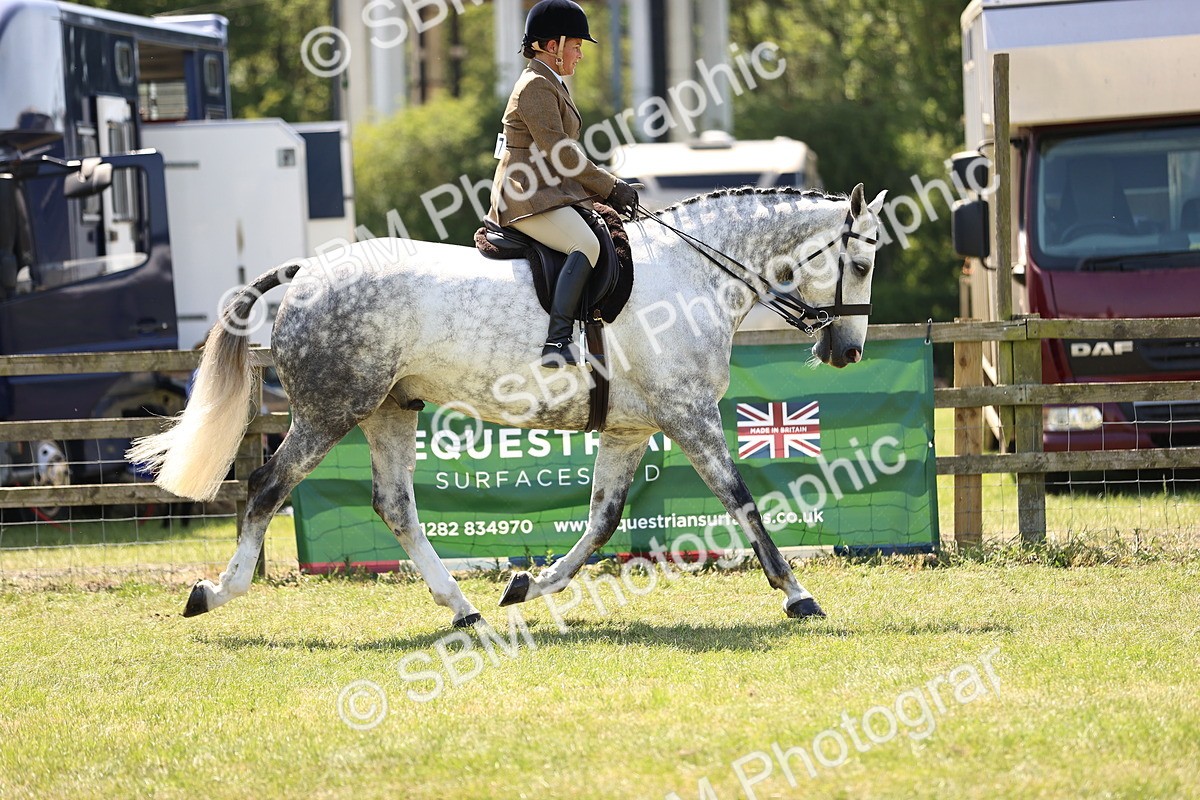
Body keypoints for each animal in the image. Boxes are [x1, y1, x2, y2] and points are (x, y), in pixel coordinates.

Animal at [129, 183, 886, 627]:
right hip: (327, 411)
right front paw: (798, 595)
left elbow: (602, 522)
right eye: (861, 262)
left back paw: (463, 607)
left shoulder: (631, 427)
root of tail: (310, 271)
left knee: (394, 505)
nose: (846, 351)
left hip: (388, 410)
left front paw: (528, 584)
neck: (693, 271)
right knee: (266, 486)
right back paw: (215, 592)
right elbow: (743, 501)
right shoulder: (689, 416)